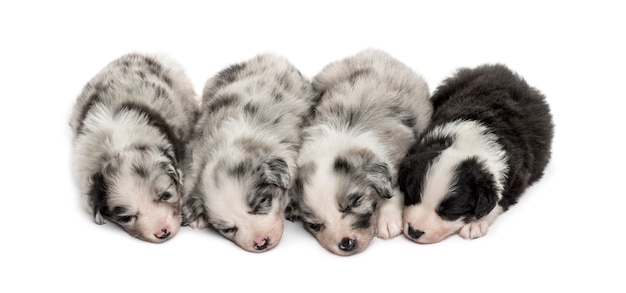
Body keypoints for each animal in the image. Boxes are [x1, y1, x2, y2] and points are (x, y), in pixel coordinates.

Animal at [182, 53, 316, 252]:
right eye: (228, 229)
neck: (230, 141)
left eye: (262, 203)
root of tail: (271, 56)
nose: (261, 243)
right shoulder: (196, 151)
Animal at [286, 49, 432, 254]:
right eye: (314, 225)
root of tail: (373, 52)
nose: (346, 244)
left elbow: (395, 190)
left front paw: (388, 221)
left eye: (355, 203)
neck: (339, 138)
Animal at [398, 64, 552, 244]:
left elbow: (497, 202)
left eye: (450, 213)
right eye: (411, 196)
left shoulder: (518, 177)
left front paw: (475, 224)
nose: (414, 231)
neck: (468, 141)